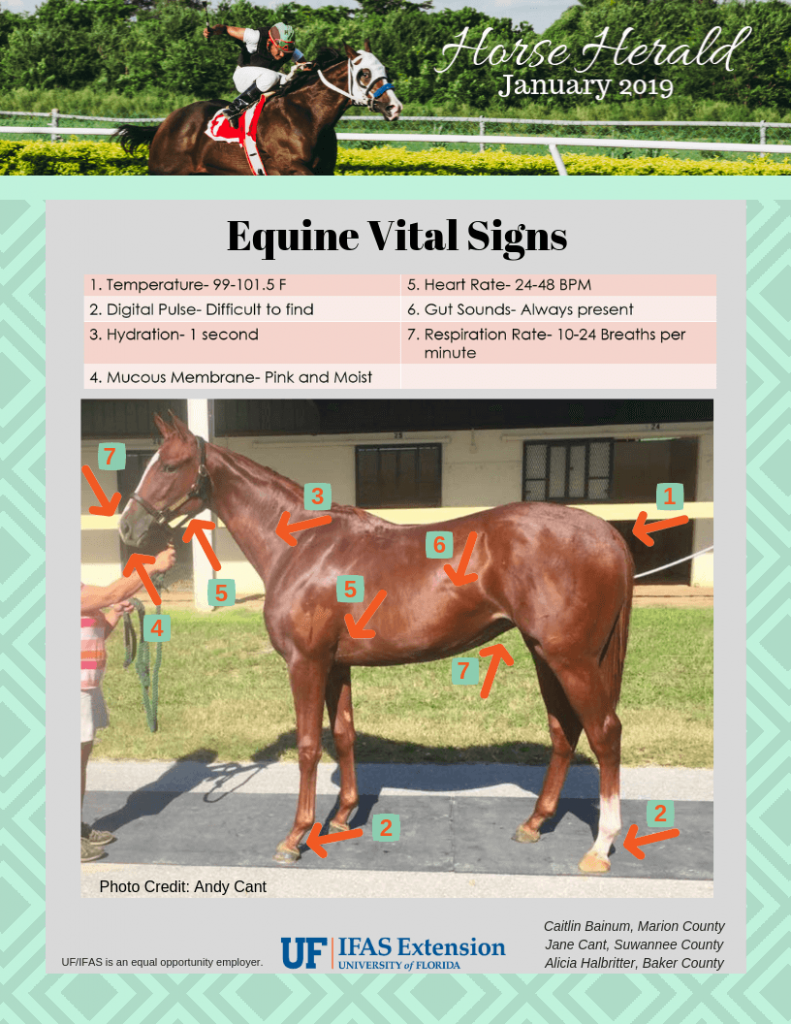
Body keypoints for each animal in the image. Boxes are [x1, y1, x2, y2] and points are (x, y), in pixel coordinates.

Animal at [114, 43, 402, 175]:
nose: (394, 107)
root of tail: (165, 124)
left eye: (385, 69)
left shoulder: (324, 169)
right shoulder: (290, 168)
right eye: (365, 73)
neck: (309, 116)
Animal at [118, 413, 633, 874]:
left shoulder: (306, 662)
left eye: (170, 466)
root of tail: (604, 532)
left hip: (572, 660)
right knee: (564, 731)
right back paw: (533, 823)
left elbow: (309, 744)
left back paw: (600, 846)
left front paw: (295, 836)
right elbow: (344, 734)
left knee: (605, 733)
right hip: (545, 655)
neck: (304, 549)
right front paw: (342, 815)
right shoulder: (336, 664)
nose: (127, 527)